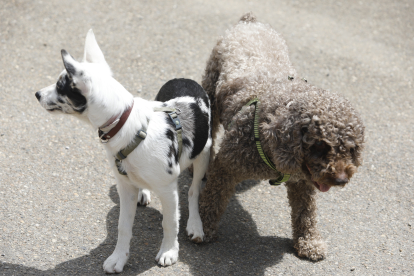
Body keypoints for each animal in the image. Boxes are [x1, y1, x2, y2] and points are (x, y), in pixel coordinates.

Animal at [34, 29, 210, 272]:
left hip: (204, 154)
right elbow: (123, 226)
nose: (37, 94)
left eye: (61, 86)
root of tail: (185, 80)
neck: (125, 124)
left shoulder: (168, 189)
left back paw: (195, 225)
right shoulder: (125, 187)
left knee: (193, 191)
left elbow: (170, 222)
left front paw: (169, 251)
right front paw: (119, 258)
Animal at [199, 12, 364, 262]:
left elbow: (305, 213)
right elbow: (213, 199)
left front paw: (309, 242)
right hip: (211, 90)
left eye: (351, 149)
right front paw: (202, 227)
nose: (342, 180)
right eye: (320, 146)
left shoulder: (302, 182)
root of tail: (250, 22)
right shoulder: (226, 166)